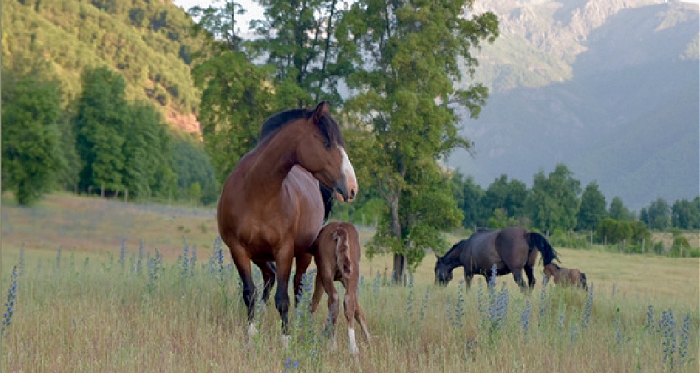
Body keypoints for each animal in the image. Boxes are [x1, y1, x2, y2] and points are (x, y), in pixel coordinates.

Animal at [217, 101, 360, 346]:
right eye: (326, 143)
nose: (352, 187)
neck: (257, 192)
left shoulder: (284, 250)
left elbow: (283, 298)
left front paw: (285, 341)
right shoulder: (238, 249)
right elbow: (249, 293)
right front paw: (250, 336)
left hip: (302, 255)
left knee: (297, 288)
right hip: (258, 254)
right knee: (269, 276)